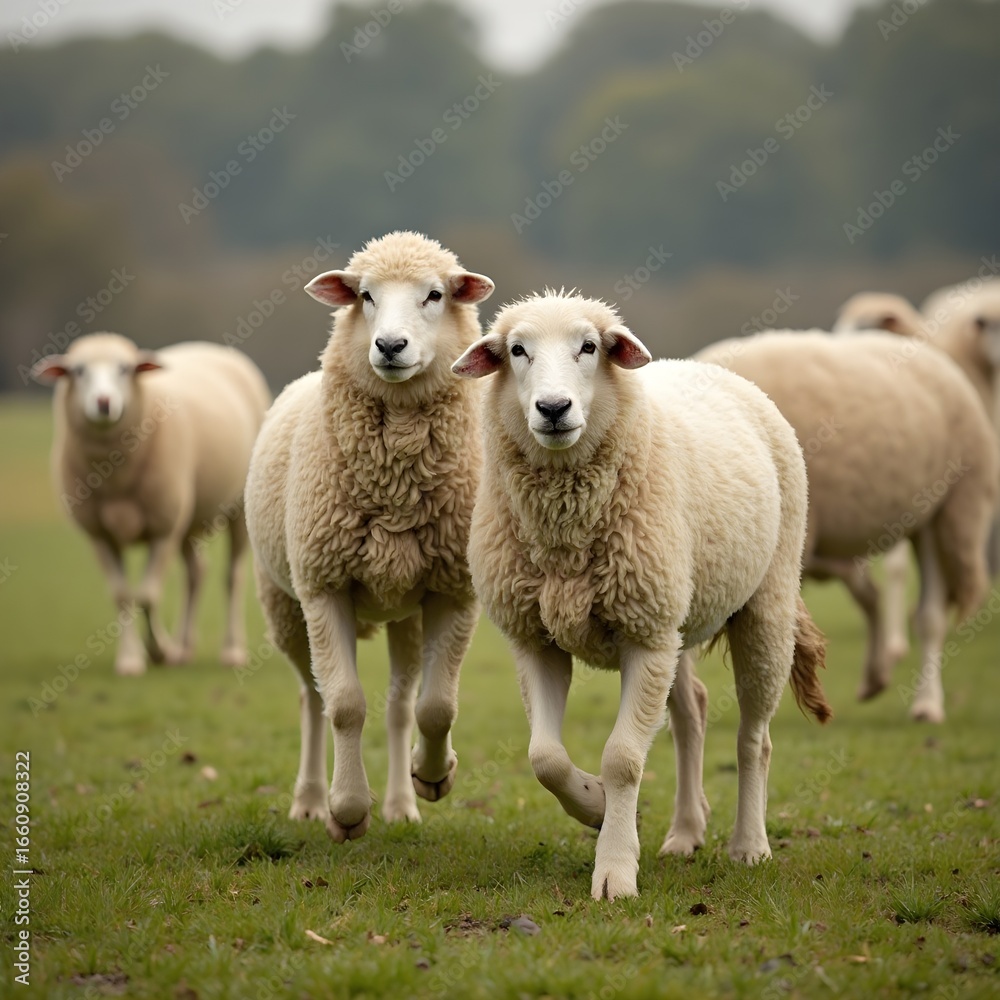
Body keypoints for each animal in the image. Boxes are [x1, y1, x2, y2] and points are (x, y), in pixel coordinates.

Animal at [31, 333, 271, 675]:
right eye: (77, 371)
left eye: (124, 369)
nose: (103, 403)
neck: (114, 477)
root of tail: (210, 347)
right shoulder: (100, 535)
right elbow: (121, 595)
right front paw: (132, 660)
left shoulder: (162, 528)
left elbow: (146, 594)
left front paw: (159, 651)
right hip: (187, 520)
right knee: (196, 573)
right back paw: (185, 648)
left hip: (236, 509)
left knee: (232, 577)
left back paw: (232, 651)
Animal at [244, 231, 494, 842]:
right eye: (364, 296)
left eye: (435, 294)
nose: (390, 345)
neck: (396, 481)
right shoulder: (324, 587)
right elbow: (345, 705)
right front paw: (348, 809)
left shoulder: (453, 592)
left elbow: (436, 707)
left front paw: (435, 777)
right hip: (285, 605)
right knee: (312, 700)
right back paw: (311, 800)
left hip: (405, 613)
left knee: (402, 704)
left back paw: (403, 803)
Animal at [451, 290, 831, 901]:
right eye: (516, 351)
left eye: (589, 346)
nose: (553, 408)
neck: (565, 533)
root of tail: (710, 368)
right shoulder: (537, 637)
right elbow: (544, 758)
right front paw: (593, 805)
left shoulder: (644, 637)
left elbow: (624, 759)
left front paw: (614, 870)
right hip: (672, 621)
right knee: (691, 716)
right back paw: (686, 832)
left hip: (761, 603)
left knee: (754, 738)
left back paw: (750, 845)